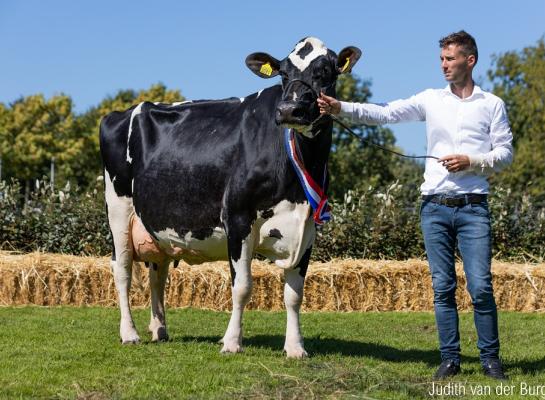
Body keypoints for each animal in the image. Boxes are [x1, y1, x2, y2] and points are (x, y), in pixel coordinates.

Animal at [99, 36, 360, 356]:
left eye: (324, 72)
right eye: (283, 74)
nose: (289, 109)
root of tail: (121, 112)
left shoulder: (308, 228)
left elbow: (294, 294)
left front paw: (295, 347)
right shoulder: (237, 218)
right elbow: (243, 287)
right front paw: (232, 342)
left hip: (156, 225)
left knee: (157, 273)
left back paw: (159, 330)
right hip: (119, 211)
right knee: (122, 270)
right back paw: (129, 333)